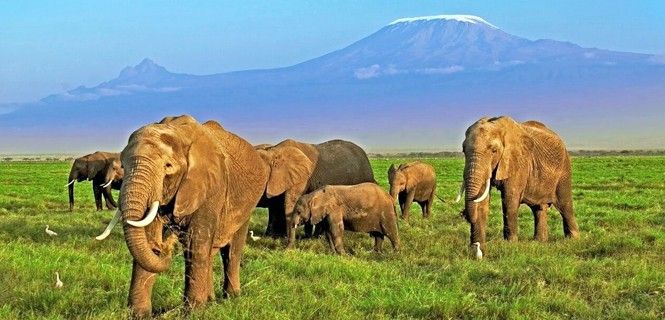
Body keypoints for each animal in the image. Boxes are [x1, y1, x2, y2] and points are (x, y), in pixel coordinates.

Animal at [94, 115, 270, 318]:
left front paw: (193, 313)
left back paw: (231, 297)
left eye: (168, 166)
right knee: (211, 252)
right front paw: (139, 315)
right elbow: (148, 235)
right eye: (123, 166)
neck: (177, 131)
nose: (165, 245)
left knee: (232, 249)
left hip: (246, 203)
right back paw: (211, 300)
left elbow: (196, 242)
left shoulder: (211, 186)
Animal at [460, 116, 580, 256]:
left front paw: (510, 246)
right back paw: (539, 242)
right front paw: (477, 250)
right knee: (538, 208)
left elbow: (509, 199)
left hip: (564, 169)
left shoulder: (518, 162)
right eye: (463, 150)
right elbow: (482, 200)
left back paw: (573, 240)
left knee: (565, 205)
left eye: (494, 150)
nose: (463, 214)